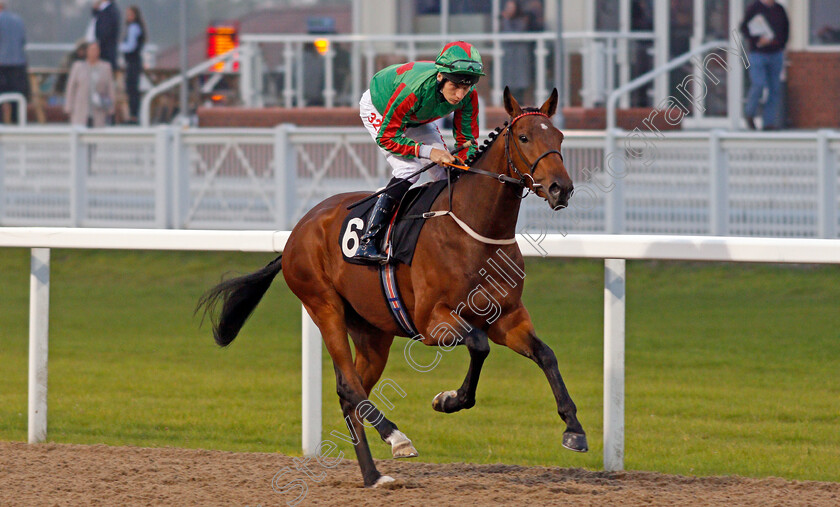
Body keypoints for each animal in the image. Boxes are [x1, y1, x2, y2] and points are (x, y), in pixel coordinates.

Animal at [199, 87, 588, 488]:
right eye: (524, 137)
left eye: (559, 137)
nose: (561, 188)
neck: (474, 230)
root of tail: (296, 233)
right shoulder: (433, 322)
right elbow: (479, 345)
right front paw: (448, 399)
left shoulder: (507, 317)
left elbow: (545, 354)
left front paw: (573, 429)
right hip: (323, 305)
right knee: (348, 386)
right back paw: (396, 437)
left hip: (372, 332)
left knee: (351, 394)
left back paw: (373, 475)